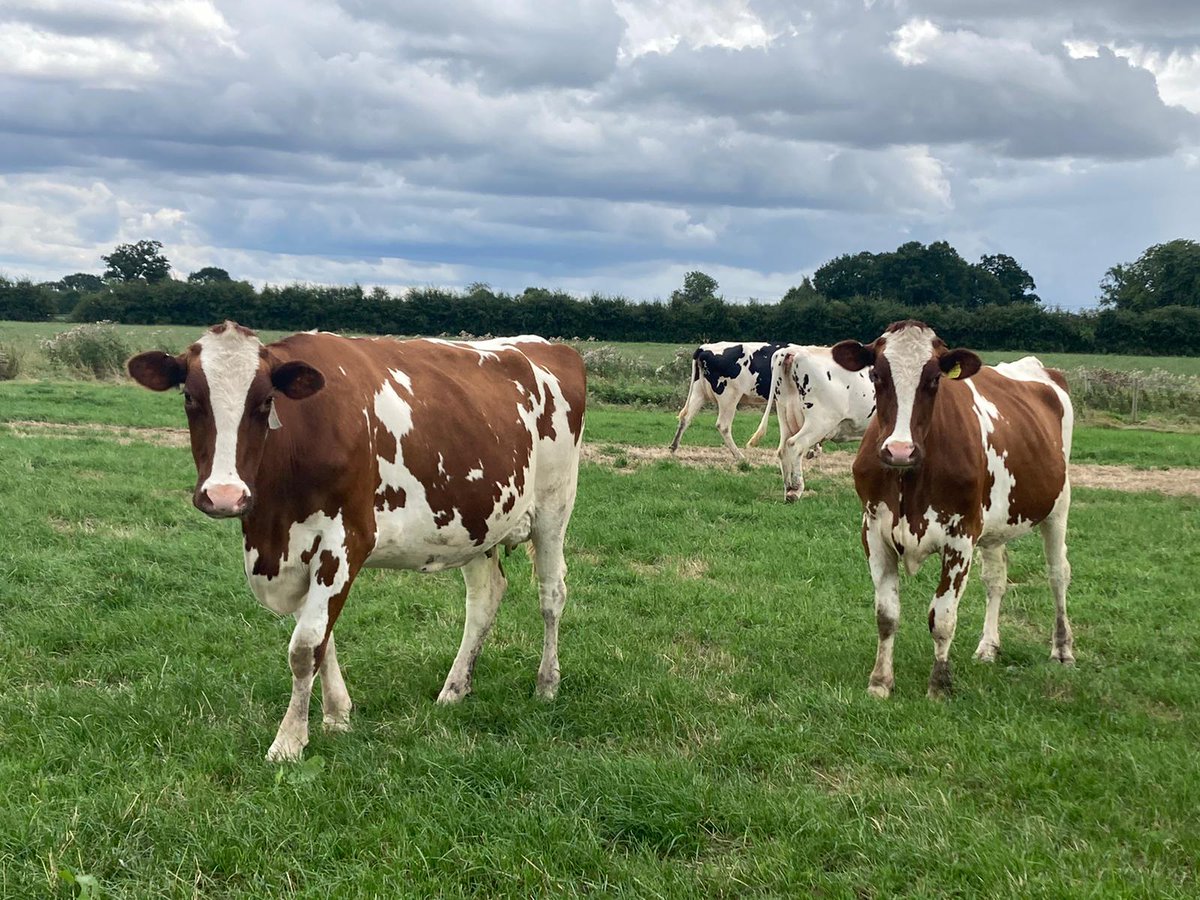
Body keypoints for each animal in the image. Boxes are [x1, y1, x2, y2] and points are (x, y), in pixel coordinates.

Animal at [127, 323, 586, 761]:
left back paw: (546, 684)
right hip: (478, 521)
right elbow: (321, 638)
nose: (224, 495)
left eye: (265, 401)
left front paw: (289, 742)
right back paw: (455, 688)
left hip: (554, 507)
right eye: (190, 397)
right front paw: (337, 716)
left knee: (551, 595)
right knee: (485, 598)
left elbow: (305, 646)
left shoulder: (345, 540)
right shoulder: (298, 551)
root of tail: (548, 345)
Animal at [745, 344, 875, 501]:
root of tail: (793, 350)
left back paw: (788, 488)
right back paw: (796, 489)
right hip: (820, 421)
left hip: (785, 414)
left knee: (783, 450)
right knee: (795, 444)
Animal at [830, 320, 1074, 699]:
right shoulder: (873, 531)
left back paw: (1062, 649)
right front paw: (880, 681)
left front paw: (940, 685)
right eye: (876, 375)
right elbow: (887, 614)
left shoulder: (960, 537)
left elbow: (942, 617)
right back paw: (988, 646)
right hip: (994, 525)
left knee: (1058, 573)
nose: (899, 450)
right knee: (996, 579)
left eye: (934, 379)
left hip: (1057, 506)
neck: (909, 478)